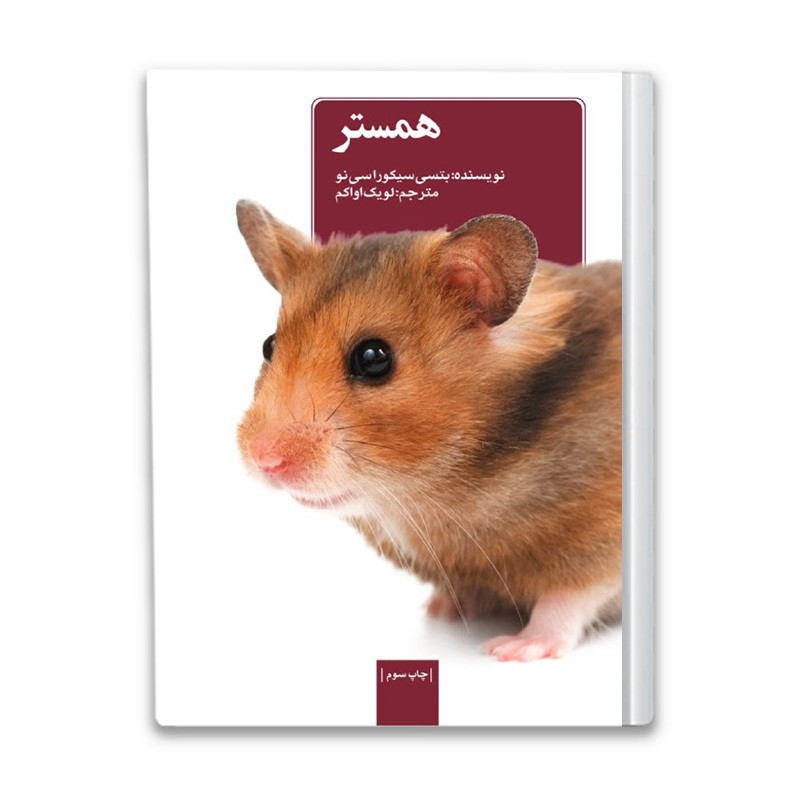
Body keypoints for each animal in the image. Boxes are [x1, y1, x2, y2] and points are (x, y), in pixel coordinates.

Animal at [235, 199, 622, 662]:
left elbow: (569, 597)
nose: (264, 460)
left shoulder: (602, 536)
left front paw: (512, 649)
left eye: (374, 358)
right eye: (269, 345)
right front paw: (440, 610)